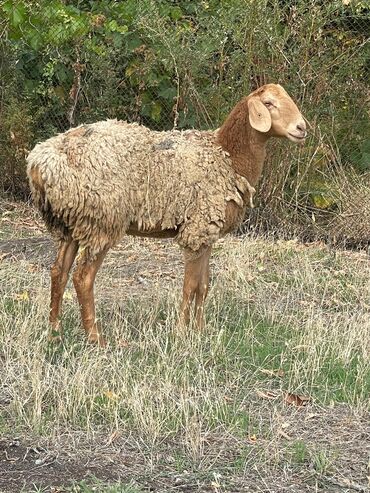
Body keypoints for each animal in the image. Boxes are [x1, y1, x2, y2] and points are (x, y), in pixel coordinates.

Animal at [27, 83, 306, 346]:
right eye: (268, 103)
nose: (302, 128)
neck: (227, 155)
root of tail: (40, 163)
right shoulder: (196, 230)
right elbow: (189, 286)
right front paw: (181, 332)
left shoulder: (206, 232)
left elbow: (203, 286)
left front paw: (200, 331)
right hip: (102, 221)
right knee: (82, 277)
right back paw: (96, 338)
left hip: (72, 221)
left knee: (59, 272)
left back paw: (54, 332)